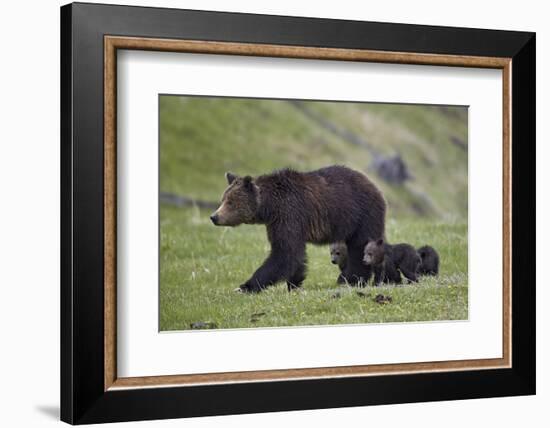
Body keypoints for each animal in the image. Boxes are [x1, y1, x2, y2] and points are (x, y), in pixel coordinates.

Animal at [211, 166, 388, 292]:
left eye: (230, 202)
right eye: (223, 199)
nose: (214, 217)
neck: (270, 207)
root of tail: (375, 186)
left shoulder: (289, 214)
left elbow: (284, 253)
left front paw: (245, 286)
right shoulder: (277, 222)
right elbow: (294, 255)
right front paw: (294, 283)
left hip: (361, 214)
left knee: (360, 247)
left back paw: (352, 278)